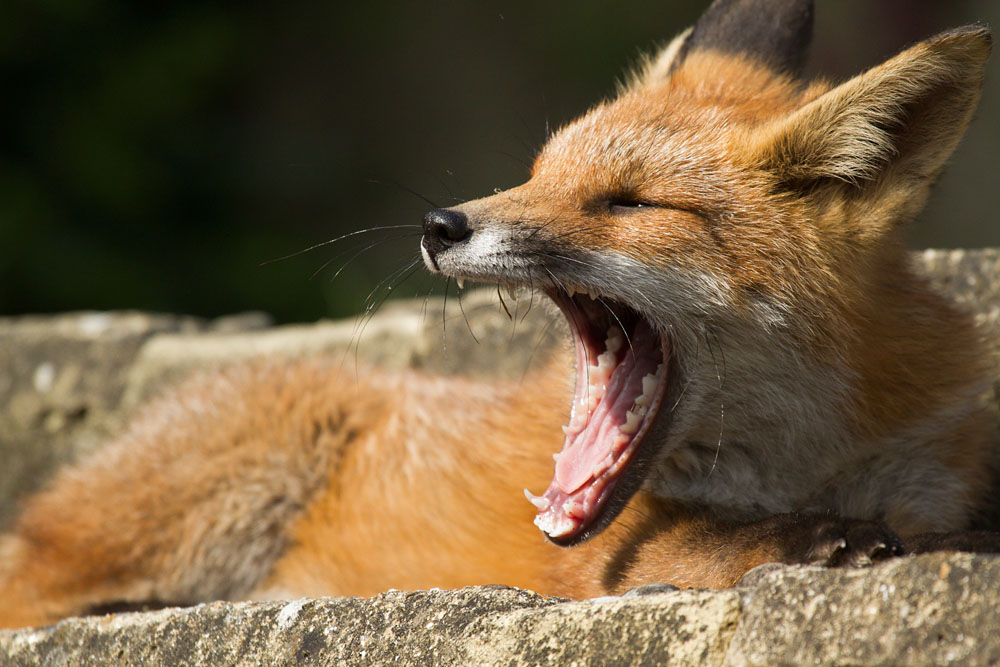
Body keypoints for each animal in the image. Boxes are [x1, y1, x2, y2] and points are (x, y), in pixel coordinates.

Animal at [2, 0, 999, 631]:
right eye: (537, 175)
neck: (810, 459)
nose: (440, 224)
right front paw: (822, 542)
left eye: (629, 203)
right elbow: (706, 543)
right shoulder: (596, 561)